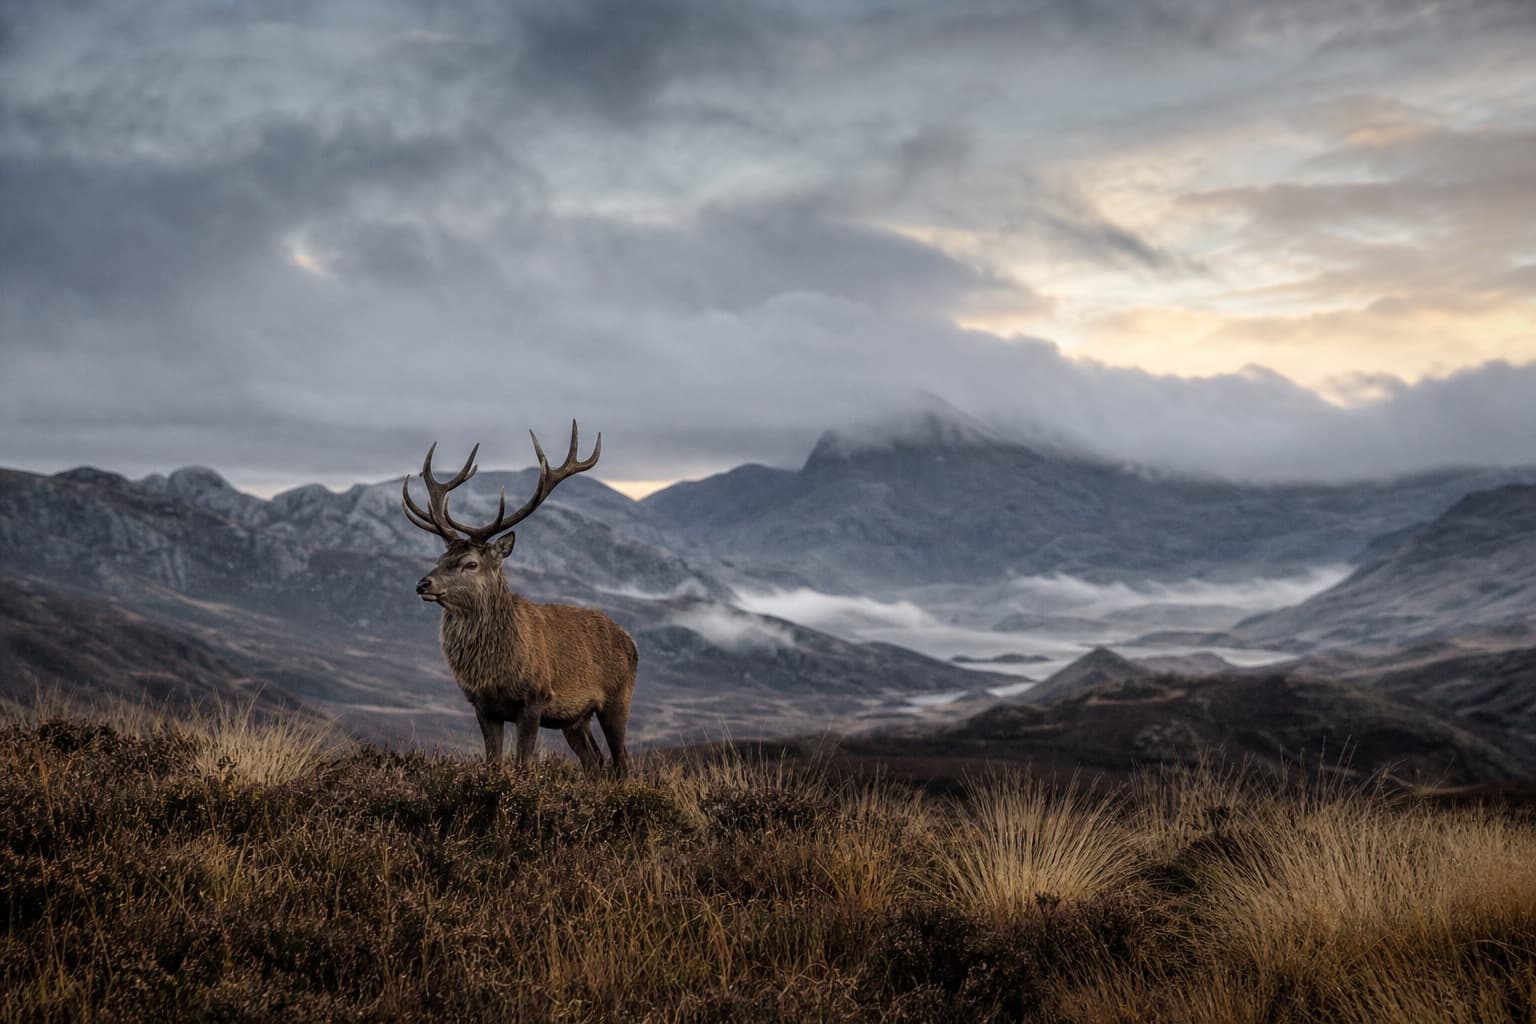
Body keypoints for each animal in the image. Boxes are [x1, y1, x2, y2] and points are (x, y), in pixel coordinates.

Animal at [402, 422, 638, 777]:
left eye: (471, 563)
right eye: (441, 557)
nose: (422, 583)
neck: (496, 669)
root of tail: (631, 641)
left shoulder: (534, 699)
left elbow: (523, 763)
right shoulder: (483, 706)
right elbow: (493, 761)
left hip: (617, 698)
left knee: (622, 763)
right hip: (574, 719)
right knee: (595, 762)